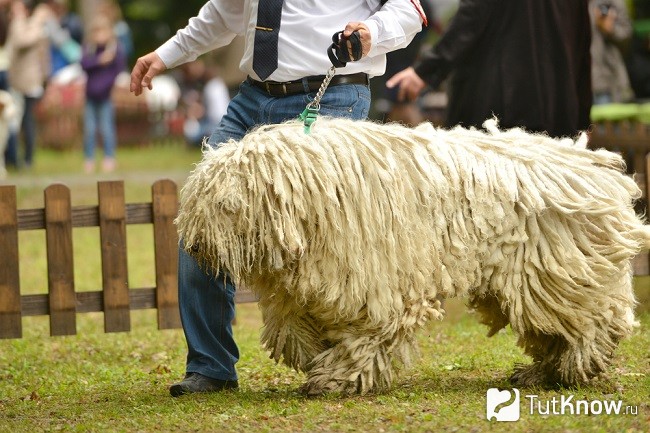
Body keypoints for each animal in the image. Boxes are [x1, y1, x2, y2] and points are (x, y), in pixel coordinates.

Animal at [175, 115, 644, 394]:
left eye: (224, 205)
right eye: (197, 203)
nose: (194, 247)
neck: (313, 197)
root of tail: (596, 168)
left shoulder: (376, 281)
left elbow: (369, 332)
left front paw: (335, 376)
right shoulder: (304, 280)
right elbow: (293, 330)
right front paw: (315, 358)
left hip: (555, 271)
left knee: (591, 321)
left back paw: (579, 366)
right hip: (522, 279)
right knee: (550, 329)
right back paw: (541, 372)